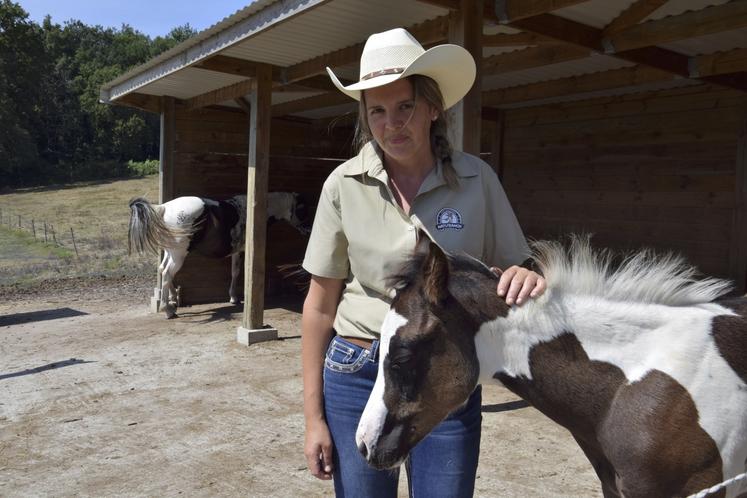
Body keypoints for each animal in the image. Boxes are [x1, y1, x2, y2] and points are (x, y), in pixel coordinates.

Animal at [129, 193, 310, 318]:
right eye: (302, 210)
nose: (308, 232)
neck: (252, 211)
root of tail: (164, 207)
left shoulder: (236, 251)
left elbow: (234, 272)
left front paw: (233, 297)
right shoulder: (243, 251)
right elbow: (239, 273)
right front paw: (236, 298)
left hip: (170, 252)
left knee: (163, 270)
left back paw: (173, 300)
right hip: (178, 255)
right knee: (167, 273)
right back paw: (168, 310)